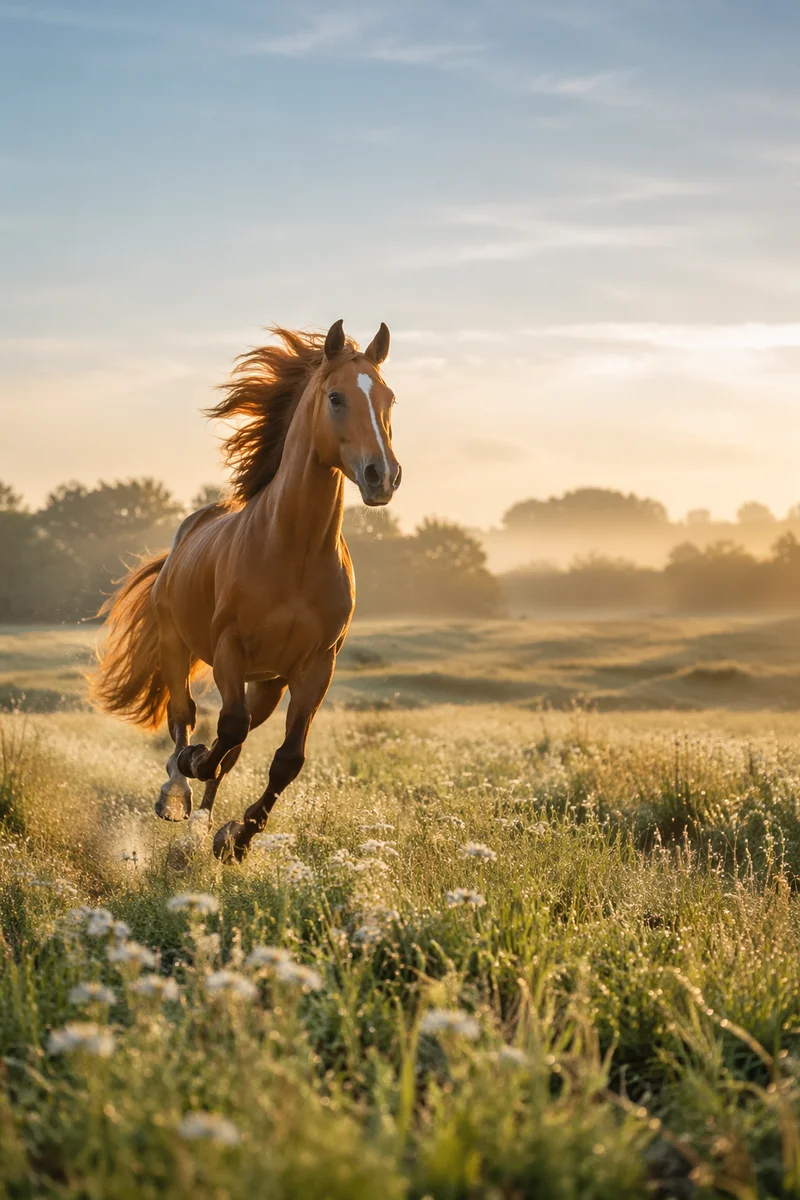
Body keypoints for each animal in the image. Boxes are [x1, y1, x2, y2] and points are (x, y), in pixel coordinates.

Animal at [91, 319, 401, 861]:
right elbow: (223, 727)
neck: (293, 551)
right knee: (185, 717)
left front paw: (235, 838)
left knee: (232, 749)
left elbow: (286, 759)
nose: (382, 476)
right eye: (336, 397)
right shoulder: (229, 646)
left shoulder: (316, 665)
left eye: (389, 398)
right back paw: (177, 792)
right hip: (176, 645)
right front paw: (193, 770)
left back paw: (203, 827)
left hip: (269, 683)